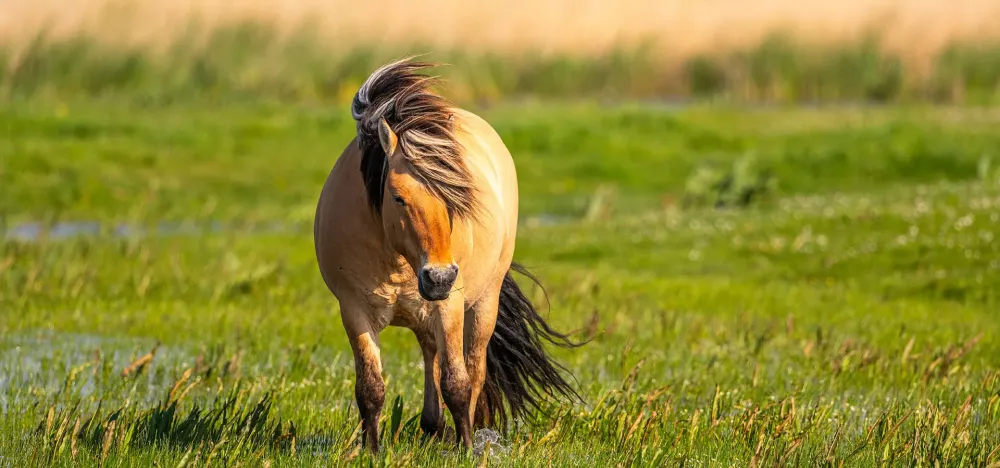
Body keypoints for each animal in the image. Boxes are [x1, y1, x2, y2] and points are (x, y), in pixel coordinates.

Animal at [313, 58, 584, 452]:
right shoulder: (354, 310)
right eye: (398, 197)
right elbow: (371, 388)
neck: (399, 260)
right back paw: (431, 425)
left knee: (473, 366)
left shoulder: (450, 306)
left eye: (456, 196)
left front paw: (466, 449)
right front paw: (372, 451)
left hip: (482, 303)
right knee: (430, 353)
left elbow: (458, 382)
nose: (438, 277)